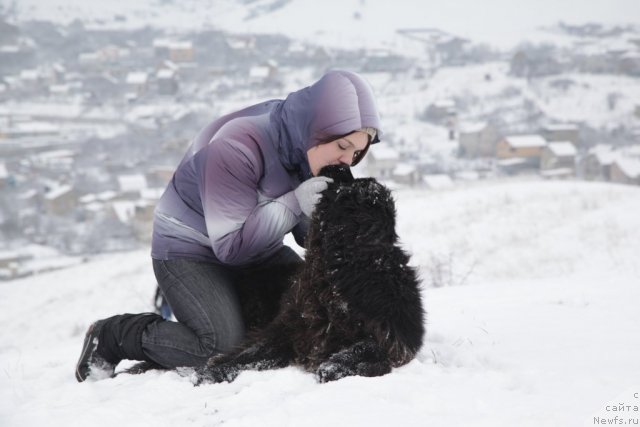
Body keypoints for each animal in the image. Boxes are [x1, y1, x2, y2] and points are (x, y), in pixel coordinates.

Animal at [195, 165, 424, 384]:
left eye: (349, 185)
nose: (340, 165)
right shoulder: (285, 329)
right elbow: (250, 353)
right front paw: (210, 371)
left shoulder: (394, 337)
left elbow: (369, 346)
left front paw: (335, 365)